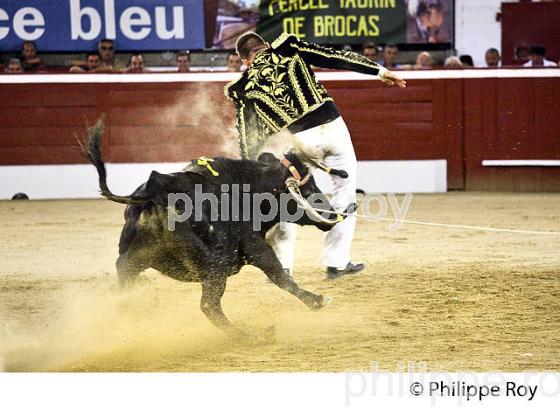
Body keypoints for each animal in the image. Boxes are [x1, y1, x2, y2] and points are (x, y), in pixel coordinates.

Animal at [85, 121, 348, 336]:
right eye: (309, 188)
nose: (333, 213)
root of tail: (154, 191)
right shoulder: (255, 245)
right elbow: (280, 276)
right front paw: (317, 301)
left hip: (135, 259)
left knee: (124, 278)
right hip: (215, 267)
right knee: (209, 305)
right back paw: (249, 336)